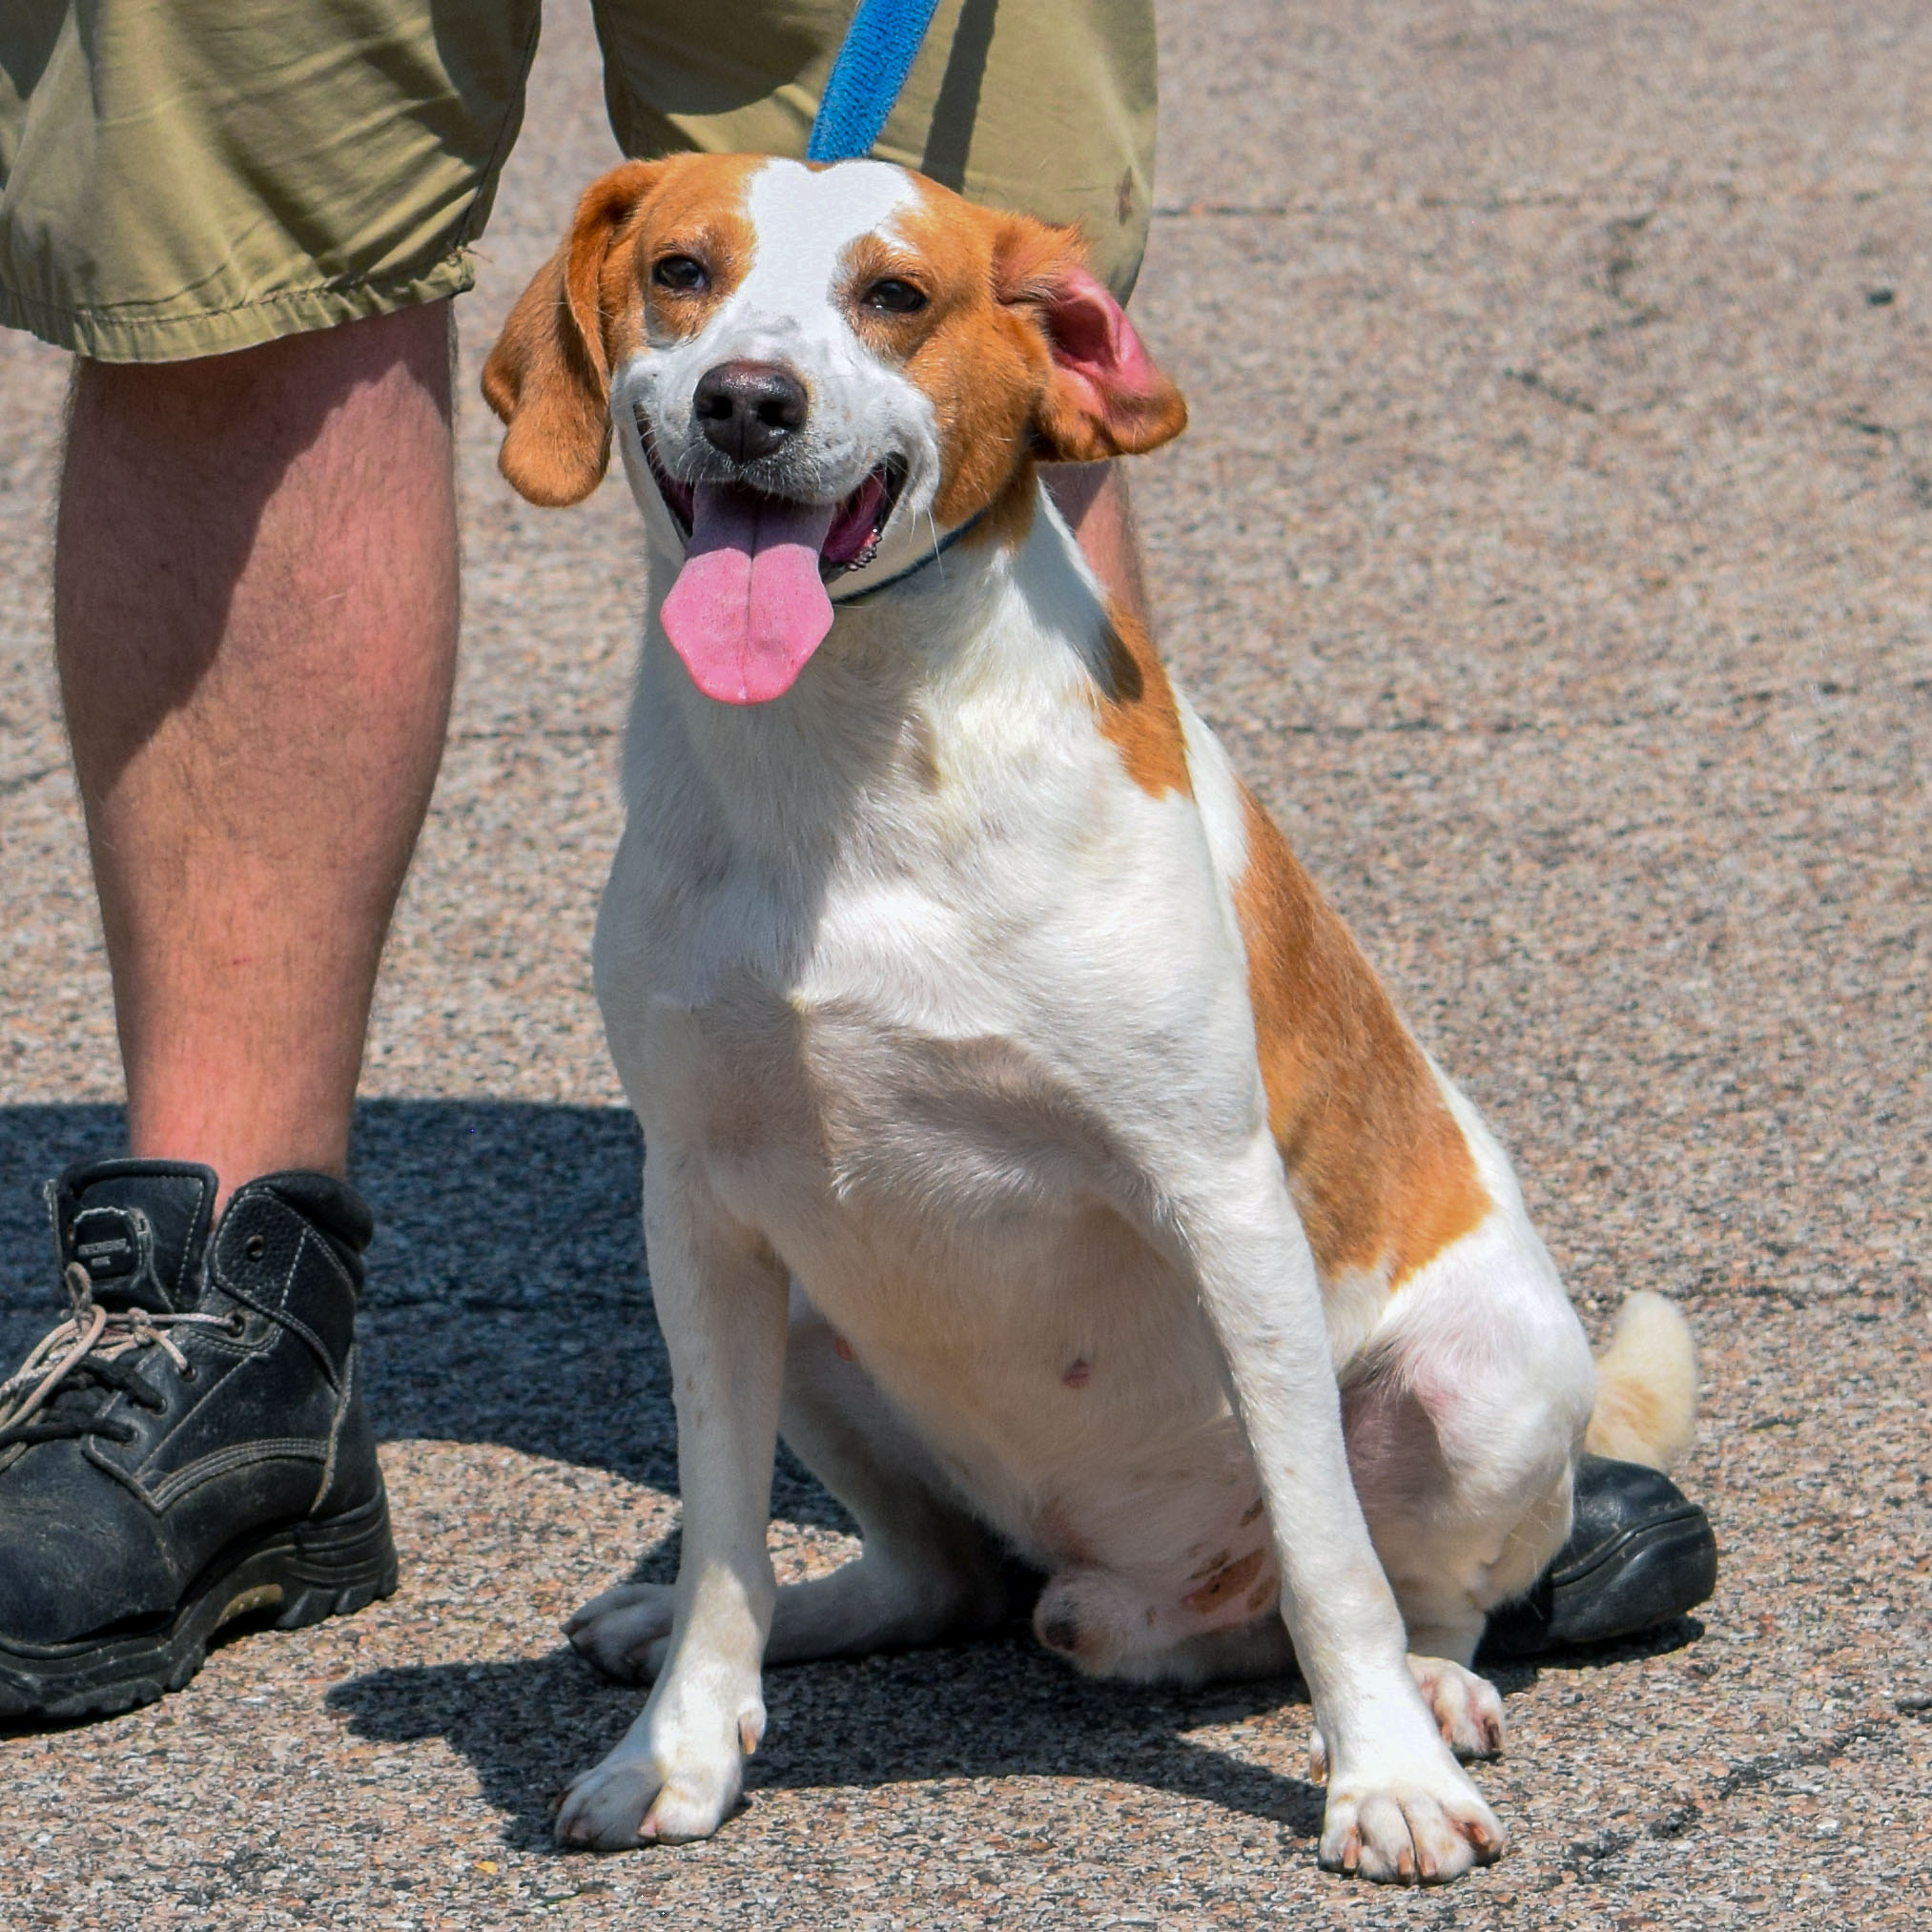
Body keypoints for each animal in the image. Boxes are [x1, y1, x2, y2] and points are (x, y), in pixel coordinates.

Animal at [483, 154, 1692, 1885]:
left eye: (894, 294)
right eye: (681, 272)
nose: (747, 403)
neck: (841, 752)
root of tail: (1136, 1605)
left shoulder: (1216, 1191)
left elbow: (1330, 1557)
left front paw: (1381, 1781)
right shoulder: (701, 1215)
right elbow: (724, 1543)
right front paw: (675, 1750)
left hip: (1488, 1379)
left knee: (1426, 1588)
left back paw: (1435, 1692)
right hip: (816, 1320)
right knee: (935, 1578)